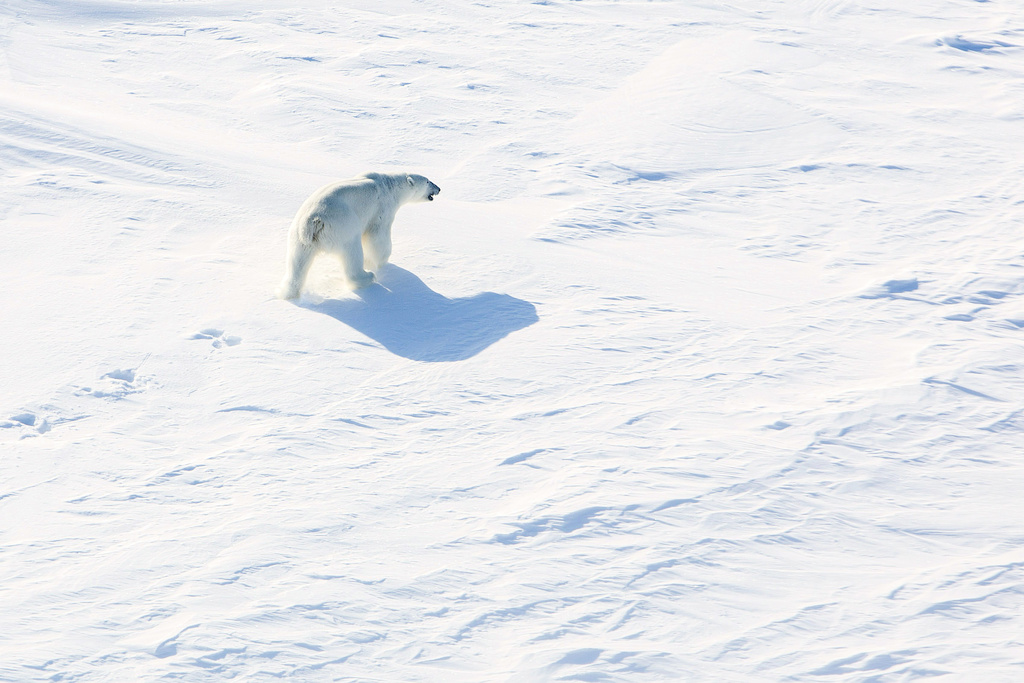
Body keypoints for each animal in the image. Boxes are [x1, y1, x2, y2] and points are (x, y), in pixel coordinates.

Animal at [276, 172, 440, 296]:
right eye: (427, 181)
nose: (439, 188)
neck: (389, 185)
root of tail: (313, 221)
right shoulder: (383, 208)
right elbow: (378, 236)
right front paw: (381, 261)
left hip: (300, 238)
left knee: (297, 262)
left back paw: (288, 292)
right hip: (343, 226)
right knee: (352, 252)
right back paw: (367, 276)